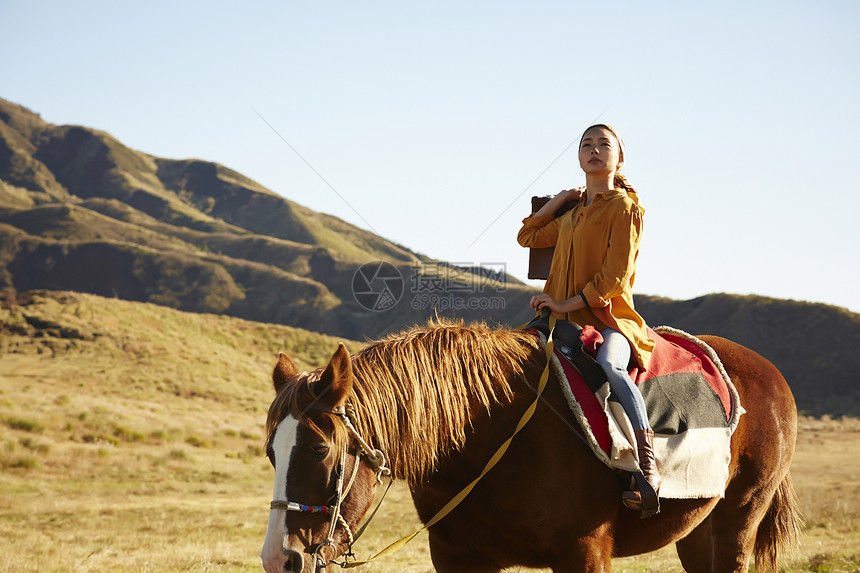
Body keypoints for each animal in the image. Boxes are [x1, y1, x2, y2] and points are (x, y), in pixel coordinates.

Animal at [258, 320, 804, 568]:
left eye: (319, 450)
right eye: (270, 453)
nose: (278, 559)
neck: (487, 438)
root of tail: (771, 373)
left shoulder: (584, 554)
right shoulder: (459, 560)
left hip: (738, 521)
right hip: (697, 530)